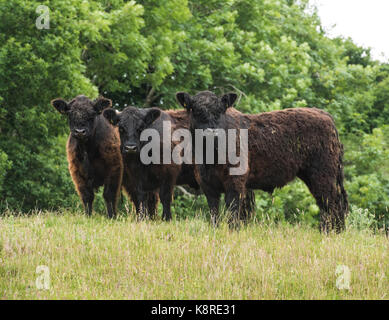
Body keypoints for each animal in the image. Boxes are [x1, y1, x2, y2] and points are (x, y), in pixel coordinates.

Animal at [177, 90, 348, 232]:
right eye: (196, 110)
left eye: (220, 111)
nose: (211, 133)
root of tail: (323, 114)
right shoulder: (208, 186)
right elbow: (214, 215)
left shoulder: (235, 184)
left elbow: (233, 213)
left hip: (322, 175)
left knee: (331, 203)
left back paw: (332, 232)